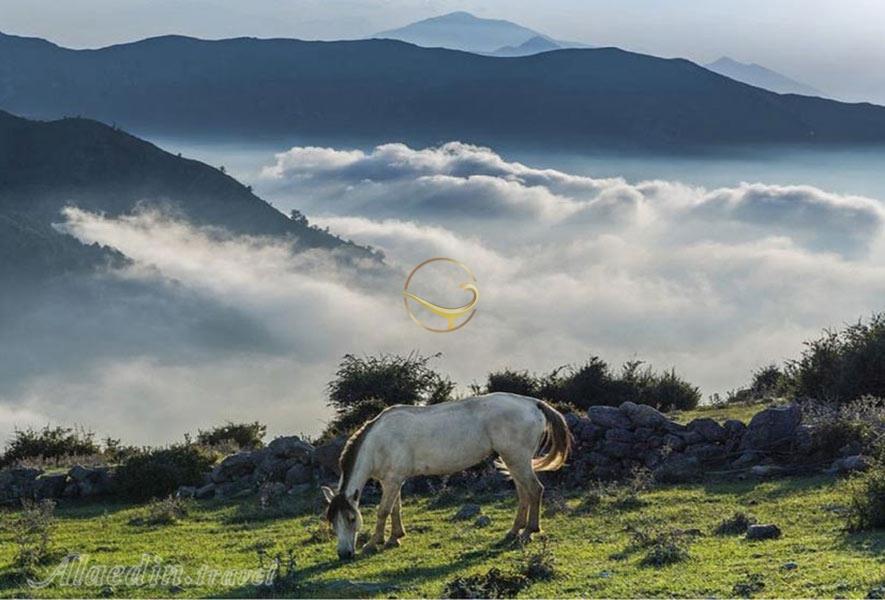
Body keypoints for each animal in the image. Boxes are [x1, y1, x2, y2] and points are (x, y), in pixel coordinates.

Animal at [322, 392, 568, 560]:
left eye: (351, 518)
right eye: (332, 521)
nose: (344, 554)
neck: (378, 442)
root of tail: (532, 403)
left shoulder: (392, 481)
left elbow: (383, 511)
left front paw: (374, 543)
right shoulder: (393, 480)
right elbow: (395, 509)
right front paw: (395, 538)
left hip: (517, 459)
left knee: (534, 490)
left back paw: (529, 532)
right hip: (514, 461)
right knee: (523, 493)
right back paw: (514, 531)